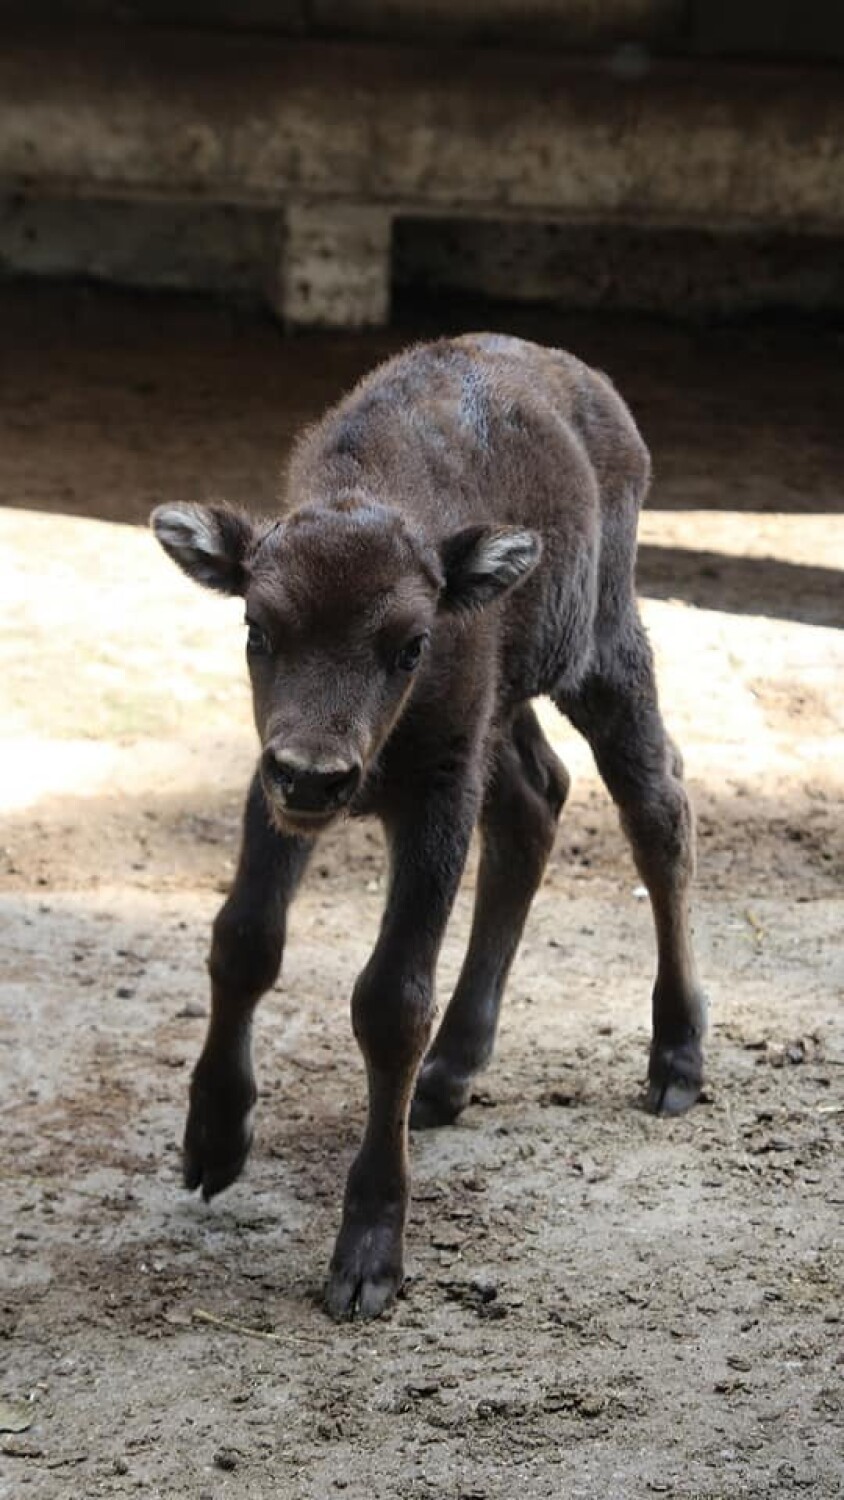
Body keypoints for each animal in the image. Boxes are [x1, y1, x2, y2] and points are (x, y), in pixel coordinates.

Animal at [153, 334, 707, 1320]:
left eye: (409, 645)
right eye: (256, 628)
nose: (318, 775)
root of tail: (584, 382)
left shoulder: (438, 799)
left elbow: (390, 1001)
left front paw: (368, 1257)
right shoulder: (272, 788)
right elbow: (244, 939)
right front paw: (214, 1140)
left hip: (602, 654)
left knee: (655, 806)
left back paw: (676, 1059)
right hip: (508, 711)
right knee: (535, 803)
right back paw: (450, 1074)